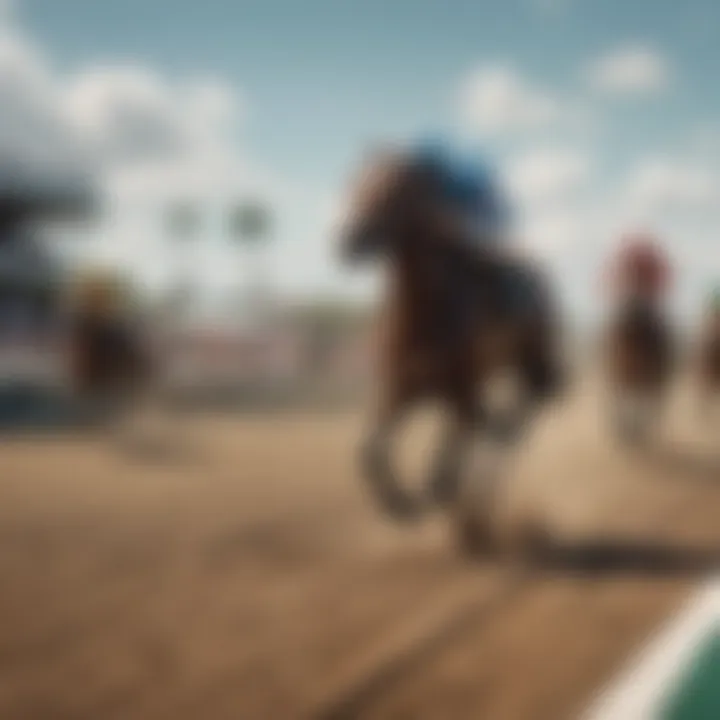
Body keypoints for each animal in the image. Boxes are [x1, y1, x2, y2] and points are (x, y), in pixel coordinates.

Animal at [338, 146, 568, 552]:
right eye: (358, 181)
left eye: (398, 189)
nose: (350, 240)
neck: (423, 314)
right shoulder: (401, 389)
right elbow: (369, 451)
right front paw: (401, 505)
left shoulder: (460, 393)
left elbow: (441, 468)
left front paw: (436, 500)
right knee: (499, 424)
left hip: (532, 363)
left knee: (519, 415)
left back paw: (476, 508)